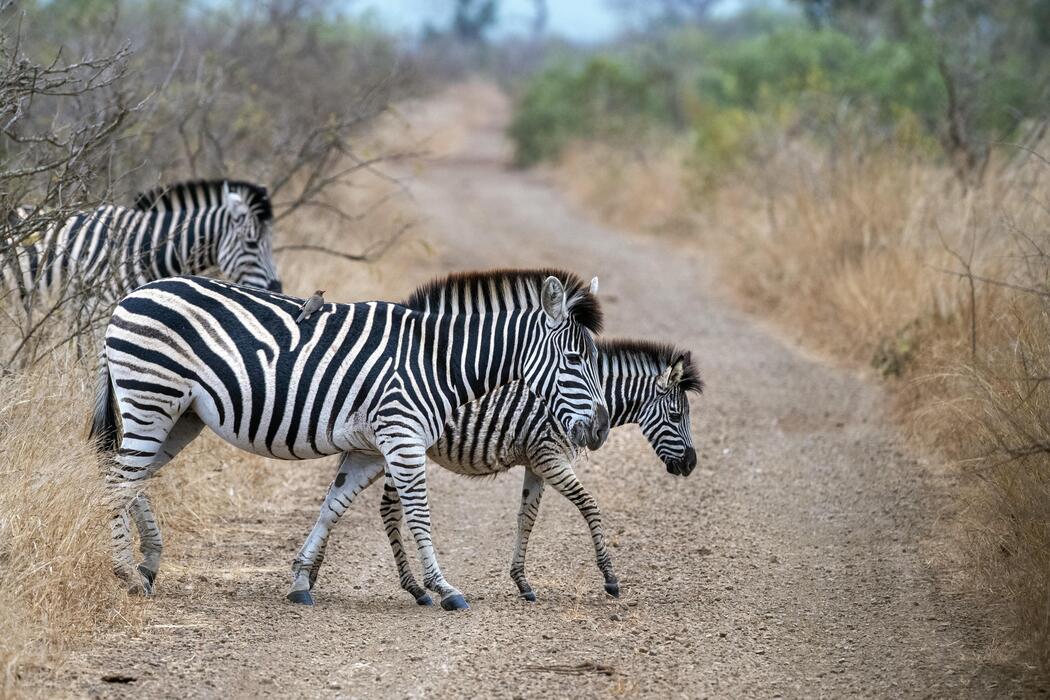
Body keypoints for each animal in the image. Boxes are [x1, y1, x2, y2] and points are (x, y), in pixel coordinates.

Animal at [90, 269, 610, 611]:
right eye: (572, 359)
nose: (601, 430)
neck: (436, 360)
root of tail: (129, 297)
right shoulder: (402, 436)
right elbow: (419, 515)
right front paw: (443, 588)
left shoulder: (367, 449)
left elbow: (331, 507)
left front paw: (301, 581)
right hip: (151, 396)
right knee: (118, 481)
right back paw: (126, 574)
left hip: (180, 415)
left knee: (126, 476)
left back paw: (147, 564)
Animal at [308, 339, 701, 605]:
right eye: (676, 416)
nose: (691, 464)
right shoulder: (550, 457)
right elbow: (590, 506)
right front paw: (610, 577)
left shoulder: (537, 463)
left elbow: (526, 518)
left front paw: (522, 582)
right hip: (397, 449)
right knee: (388, 510)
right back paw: (415, 587)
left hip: (379, 451)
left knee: (345, 501)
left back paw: (312, 574)